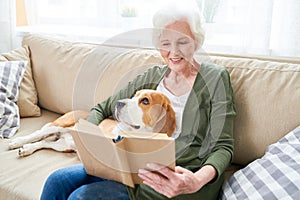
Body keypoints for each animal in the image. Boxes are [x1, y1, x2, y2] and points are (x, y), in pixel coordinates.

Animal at [8, 90, 176, 157]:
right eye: (135, 95)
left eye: (145, 101)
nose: (118, 103)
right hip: (60, 124)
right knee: (37, 134)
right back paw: (17, 142)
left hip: (64, 145)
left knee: (44, 143)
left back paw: (27, 149)